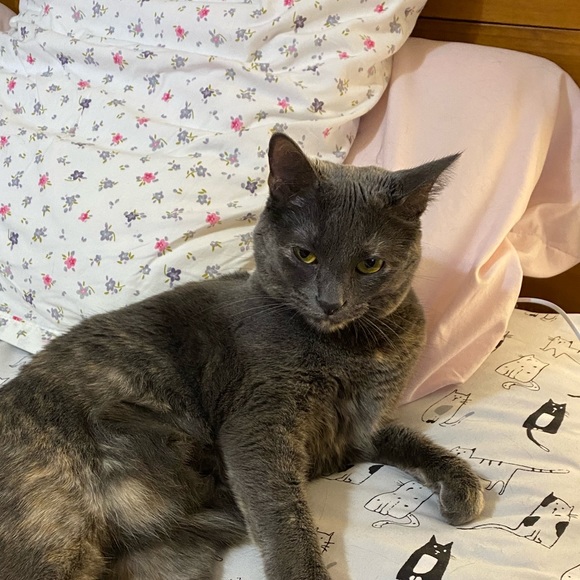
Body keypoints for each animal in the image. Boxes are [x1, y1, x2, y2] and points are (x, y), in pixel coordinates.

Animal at [0, 133, 484, 580]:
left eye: (370, 264)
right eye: (305, 255)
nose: (331, 302)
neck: (349, 349)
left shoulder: (364, 426)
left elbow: (410, 439)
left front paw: (463, 488)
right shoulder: (259, 422)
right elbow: (283, 516)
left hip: (165, 562)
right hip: (55, 528)